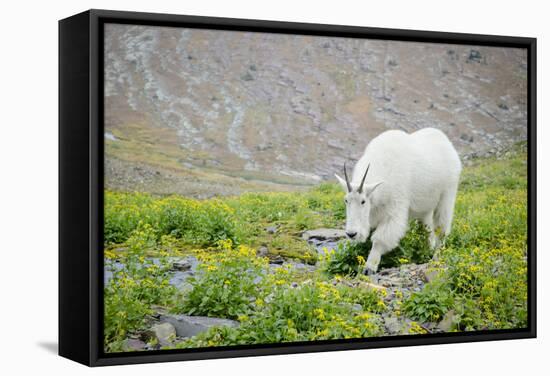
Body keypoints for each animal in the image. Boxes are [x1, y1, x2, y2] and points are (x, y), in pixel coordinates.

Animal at [336, 128, 462, 274]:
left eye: (363, 201)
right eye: (346, 200)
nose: (351, 234)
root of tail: (446, 142)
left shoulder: (395, 208)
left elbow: (380, 239)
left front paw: (369, 267)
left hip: (447, 192)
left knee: (441, 229)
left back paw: (436, 257)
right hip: (425, 207)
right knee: (426, 229)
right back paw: (427, 251)